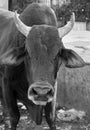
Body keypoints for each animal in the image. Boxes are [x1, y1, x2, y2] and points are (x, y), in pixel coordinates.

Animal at [0, 2, 85, 130]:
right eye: (27, 52)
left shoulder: (54, 86)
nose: (41, 91)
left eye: (58, 53)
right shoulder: (6, 84)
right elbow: (13, 117)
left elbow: (51, 118)